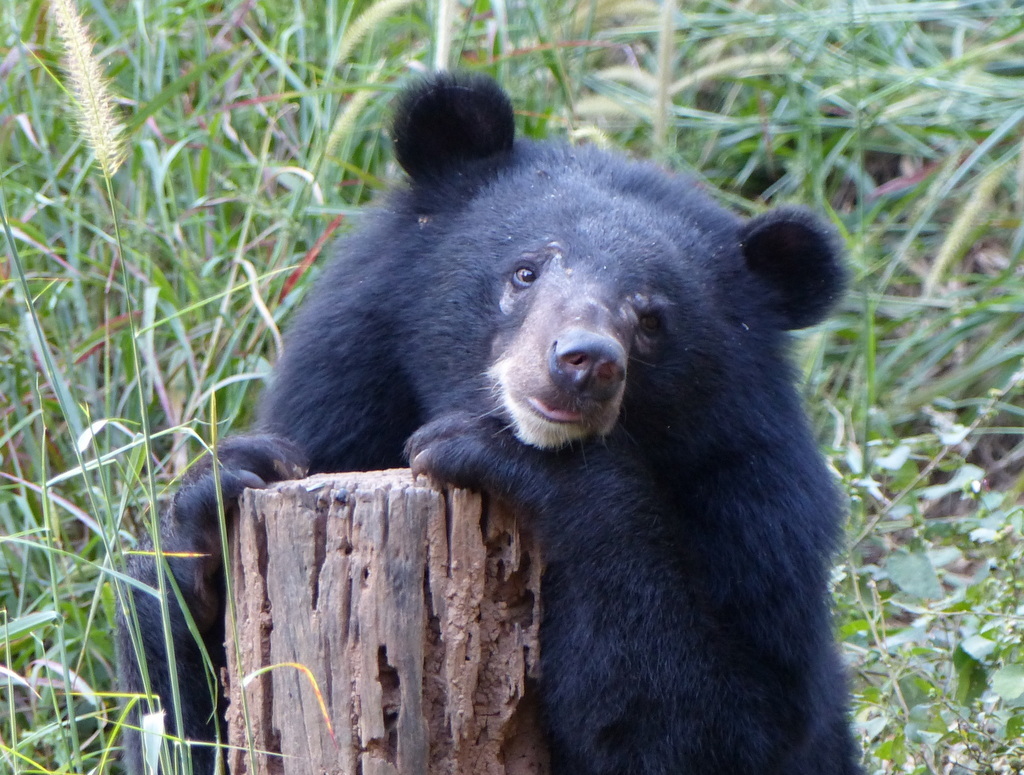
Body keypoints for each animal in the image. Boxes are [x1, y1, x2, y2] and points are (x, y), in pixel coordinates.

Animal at [117, 74, 864, 773]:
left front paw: (512, 458)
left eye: (652, 319)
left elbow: (714, 720)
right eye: (525, 272)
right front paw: (221, 489)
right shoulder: (343, 393)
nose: (584, 362)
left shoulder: (756, 511)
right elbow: (182, 725)